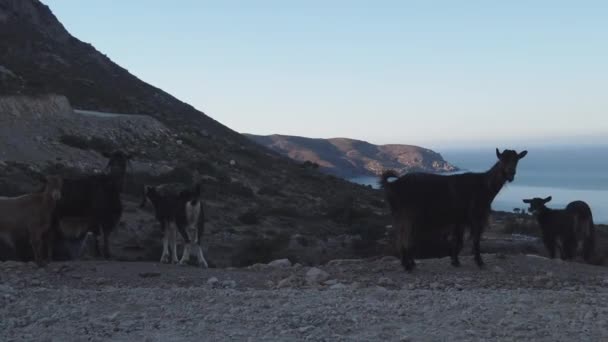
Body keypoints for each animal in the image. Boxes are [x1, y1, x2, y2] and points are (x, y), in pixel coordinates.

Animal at [380, 148, 528, 272]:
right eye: (502, 159)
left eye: (516, 160)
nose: (511, 173)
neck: (484, 185)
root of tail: (393, 185)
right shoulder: (475, 217)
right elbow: (475, 240)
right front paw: (479, 262)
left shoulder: (459, 220)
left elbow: (459, 241)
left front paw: (455, 261)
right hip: (408, 215)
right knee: (404, 237)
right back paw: (407, 265)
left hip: (402, 216)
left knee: (402, 236)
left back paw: (409, 262)